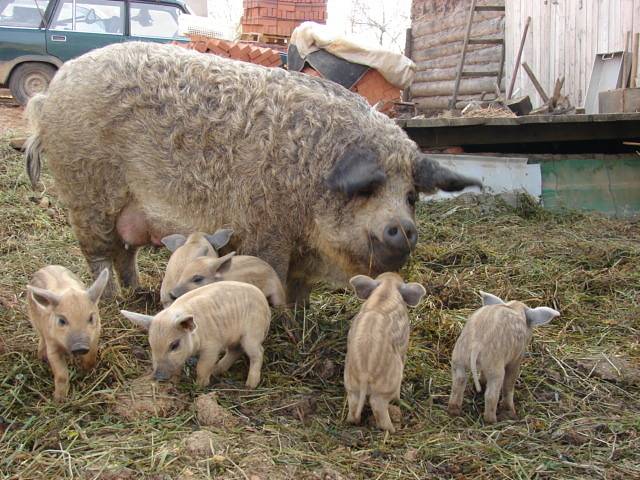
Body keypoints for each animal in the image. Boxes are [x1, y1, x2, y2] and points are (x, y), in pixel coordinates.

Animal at [23, 42, 480, 304]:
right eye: (367, 190)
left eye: (412, 197)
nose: (403, 228)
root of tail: (53, 89)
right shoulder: (268, 228)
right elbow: (272, 273)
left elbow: (299, 288)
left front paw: (300, 319)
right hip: (86, 189)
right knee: (99, 253)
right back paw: (111, 301)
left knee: (125, 251)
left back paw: (138, 291)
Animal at [25, 266, 109, 402]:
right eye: (62, 320)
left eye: (91, 318)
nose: (80, 347)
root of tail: (46, 267)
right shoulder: (52, 345)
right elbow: (61, 374)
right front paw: (58, 400)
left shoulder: (95, 335)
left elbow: (91, 358)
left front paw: (85, 371)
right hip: (33, 319)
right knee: (41, 337)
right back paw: (42, 357)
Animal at [120, 284, 270, 388]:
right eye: (151, 345)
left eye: (174, 345)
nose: (158, 376)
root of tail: (265, 304)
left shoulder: (212, 346)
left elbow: (202, 367)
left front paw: (199, 385)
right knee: (236, 350)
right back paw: (216, 371)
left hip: (252, 333)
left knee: (258, 352)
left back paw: (250, 385)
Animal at [344, 272, 424, 434]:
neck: (387, 287)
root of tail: (364, 373)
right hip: (387, 385)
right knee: (379, 406)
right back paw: (393, 429)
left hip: (350, 384)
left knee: (353, 407)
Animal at [448, 292, 556, 424]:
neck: (514, 307)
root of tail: (476, 345)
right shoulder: (516, 358)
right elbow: (509, 384)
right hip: (495, 368)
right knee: (490, 396)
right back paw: (494, 421)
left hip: (458, 359)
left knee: (458, 383)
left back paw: (454, 412)